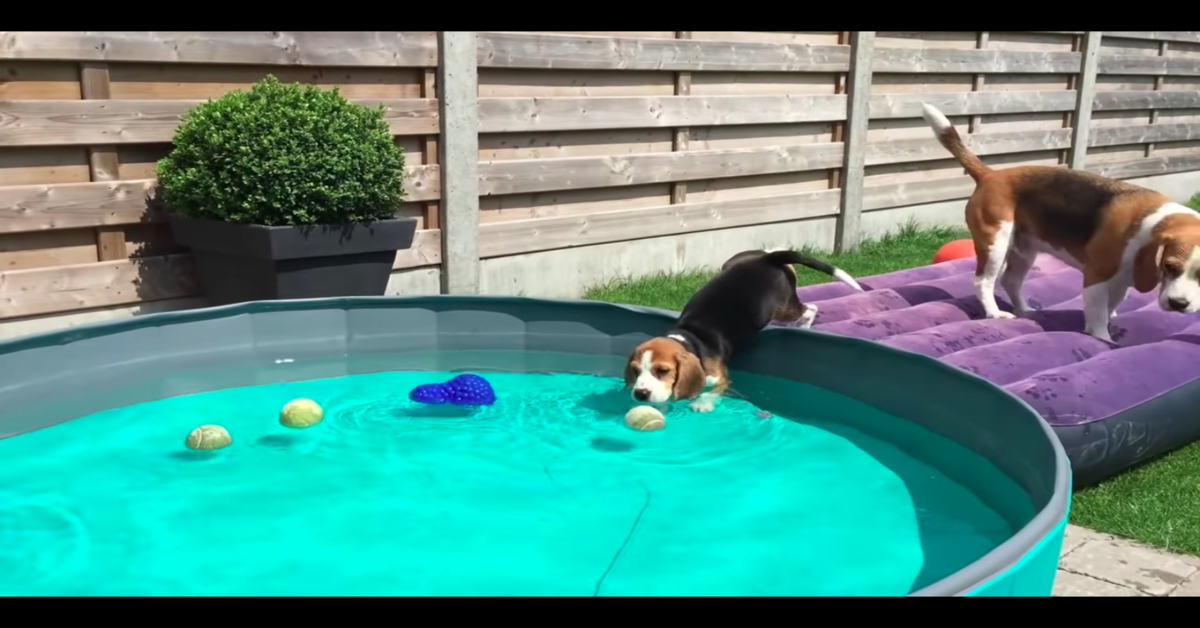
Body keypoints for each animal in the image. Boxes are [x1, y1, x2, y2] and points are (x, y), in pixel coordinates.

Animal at [628, 248, 864, 415]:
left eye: (663, 370)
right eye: (635, 371)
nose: (640, 394)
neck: (690, 338)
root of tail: (767, 259)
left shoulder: (720, 377)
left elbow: (714, 389)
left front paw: (702, 404)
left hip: (783, 308)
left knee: (809, 309)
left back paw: (805, 327)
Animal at [916, 102, 1200, 343]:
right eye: (1170, 266)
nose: (1179, 305)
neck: (1150, 224)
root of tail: (989, 175)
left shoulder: (1121, 282)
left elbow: (1111, 307)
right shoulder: (1096, 277)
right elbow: (1098, 318)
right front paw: (1103, 339)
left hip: (1024, 250)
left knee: (1010, 281)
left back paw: (1025, 309)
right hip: (995, 243)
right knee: (983, 281)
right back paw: (995, 313)